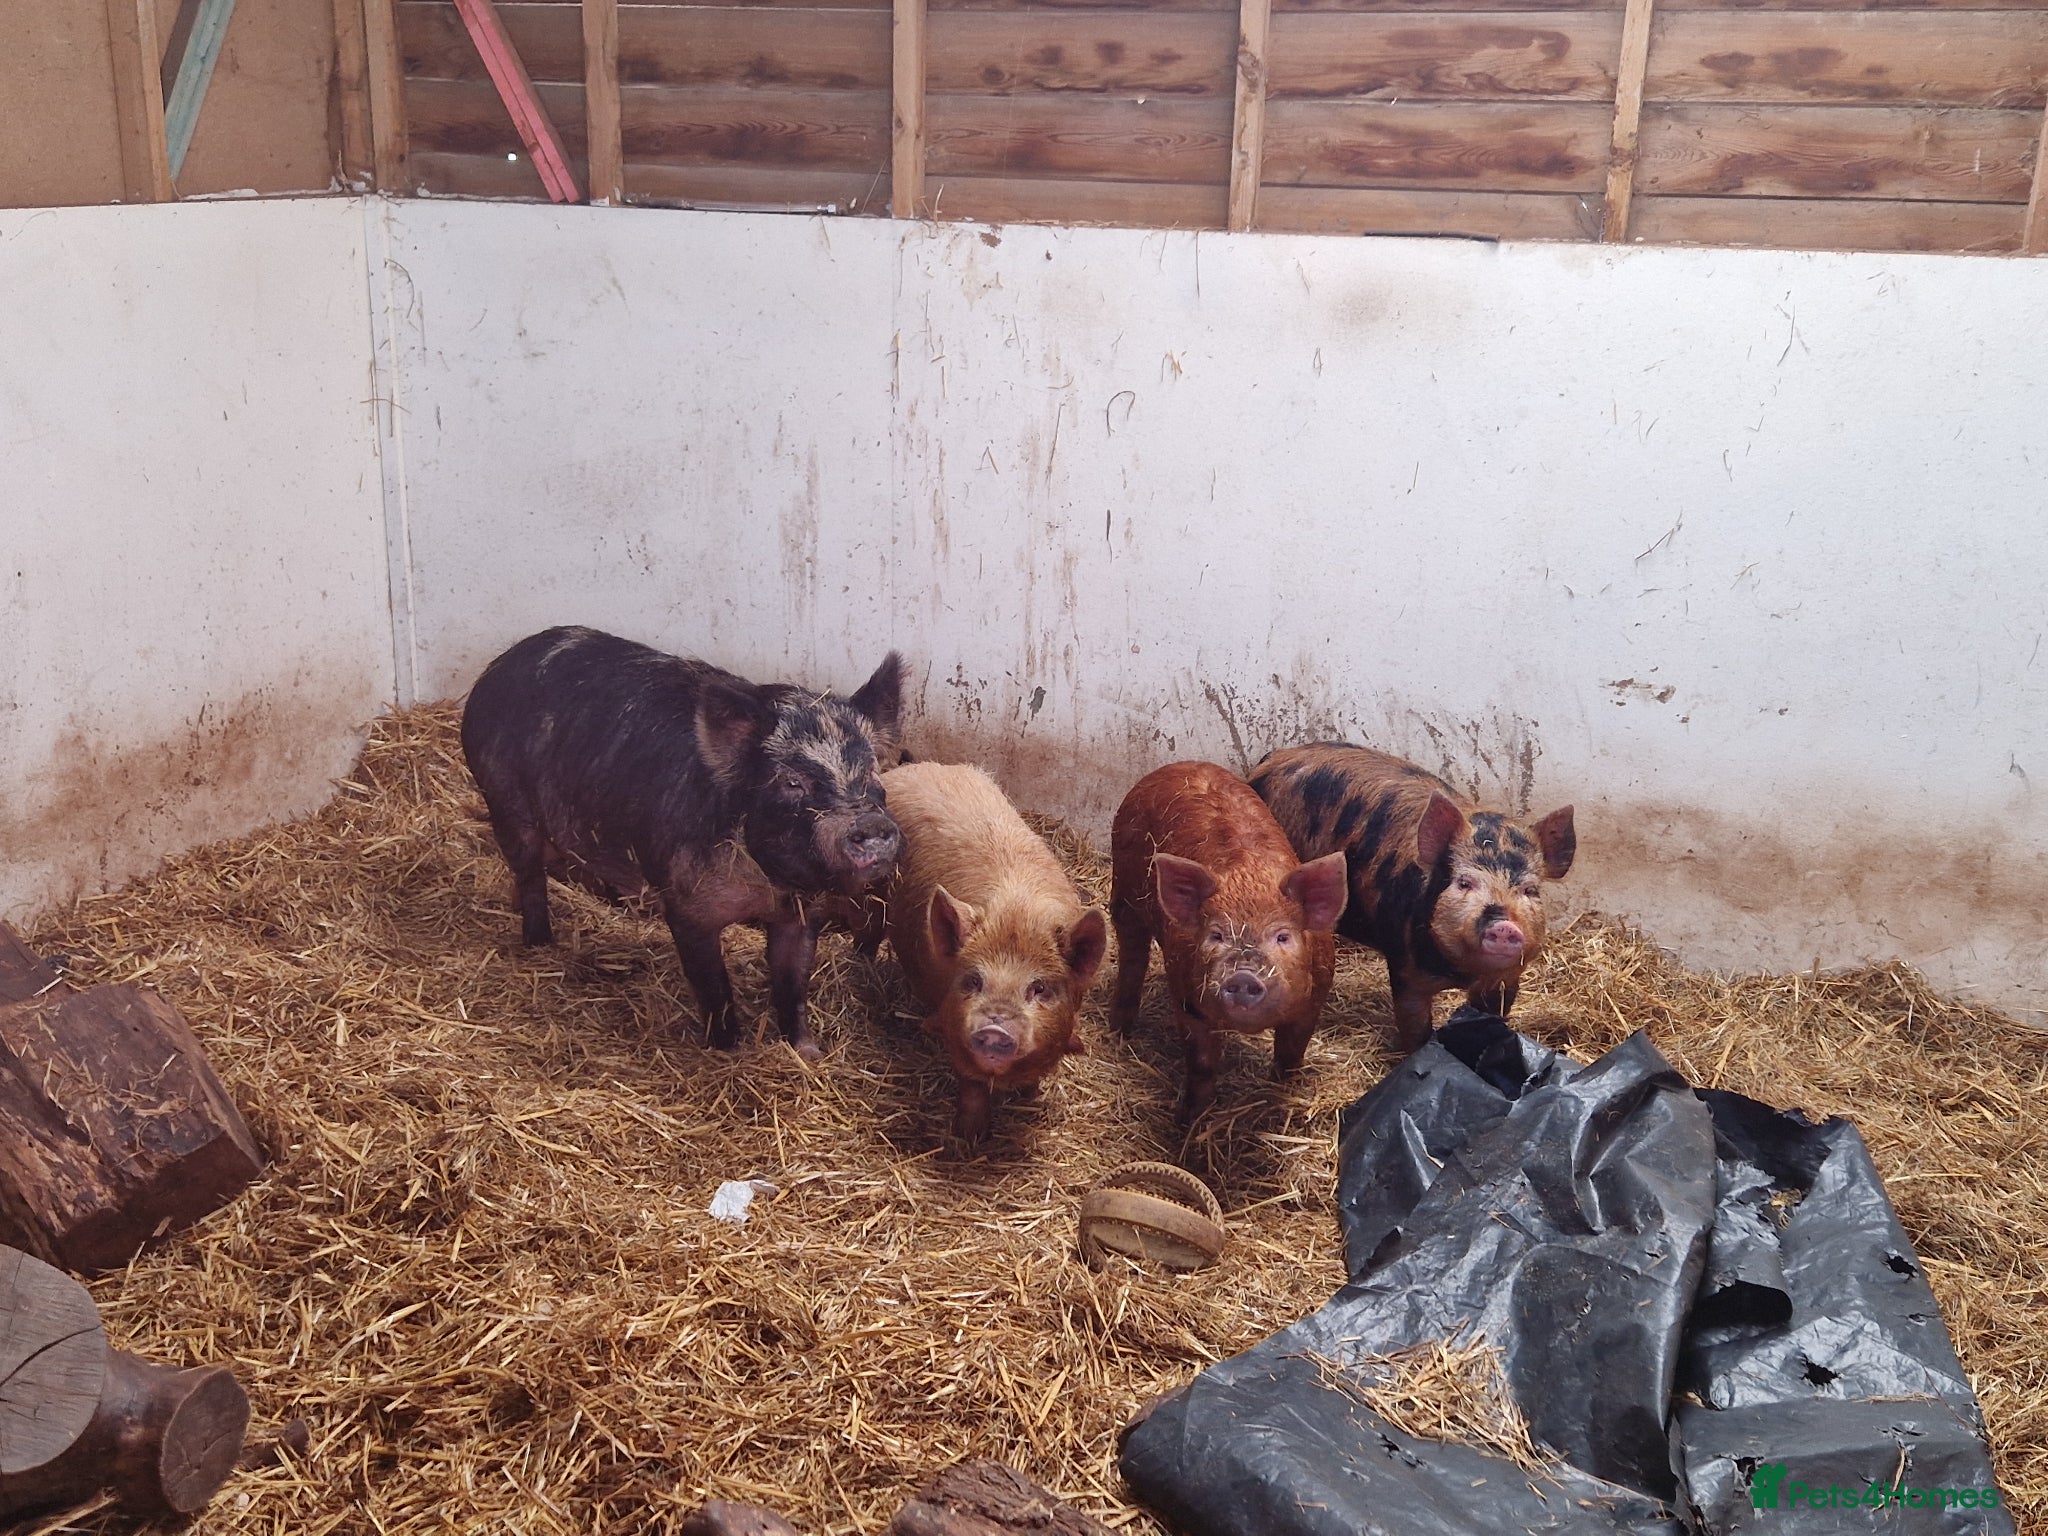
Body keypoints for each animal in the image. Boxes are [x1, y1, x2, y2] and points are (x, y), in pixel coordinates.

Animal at [460, 626, 903, 1059]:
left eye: (871, 770)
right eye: (792, 782)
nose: (870, 822)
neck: (770, 885)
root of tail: (497, 668)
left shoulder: (802, 914)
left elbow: (792, 985)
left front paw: (807, 1052)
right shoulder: (688, 906)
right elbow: (713, 987)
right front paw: (728, 1051)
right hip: (505, 803)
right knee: (529, 873)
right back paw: (538, 942)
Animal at [878, 762, 1108, 1142]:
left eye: (1039, 988)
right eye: (973, 981)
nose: (994, 1029)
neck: (1017, 913)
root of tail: (912, 767)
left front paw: (1031, 1097)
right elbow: (971, 1085)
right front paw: (971, 1138)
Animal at [1108, 762, 1350, 1118]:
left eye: (1283, 936)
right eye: (1217, 934)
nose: (1244, 975)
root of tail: (1177, 765)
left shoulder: (1314, 1000)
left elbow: (1291, 1054)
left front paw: (1286, 1093)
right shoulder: (1188, 999)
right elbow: (1202, 1064)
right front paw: (1190, 1120)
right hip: (1125, 891)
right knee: (1131, 955)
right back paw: (1120, 1031)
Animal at [1249, 743, 1575, 1053]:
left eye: (1530, 890)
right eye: (1464, 882)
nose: (1504, 925)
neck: (1461, 972)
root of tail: (1275, 757)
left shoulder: (1506, 979)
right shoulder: (1404, 967)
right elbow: (1415, 1025)